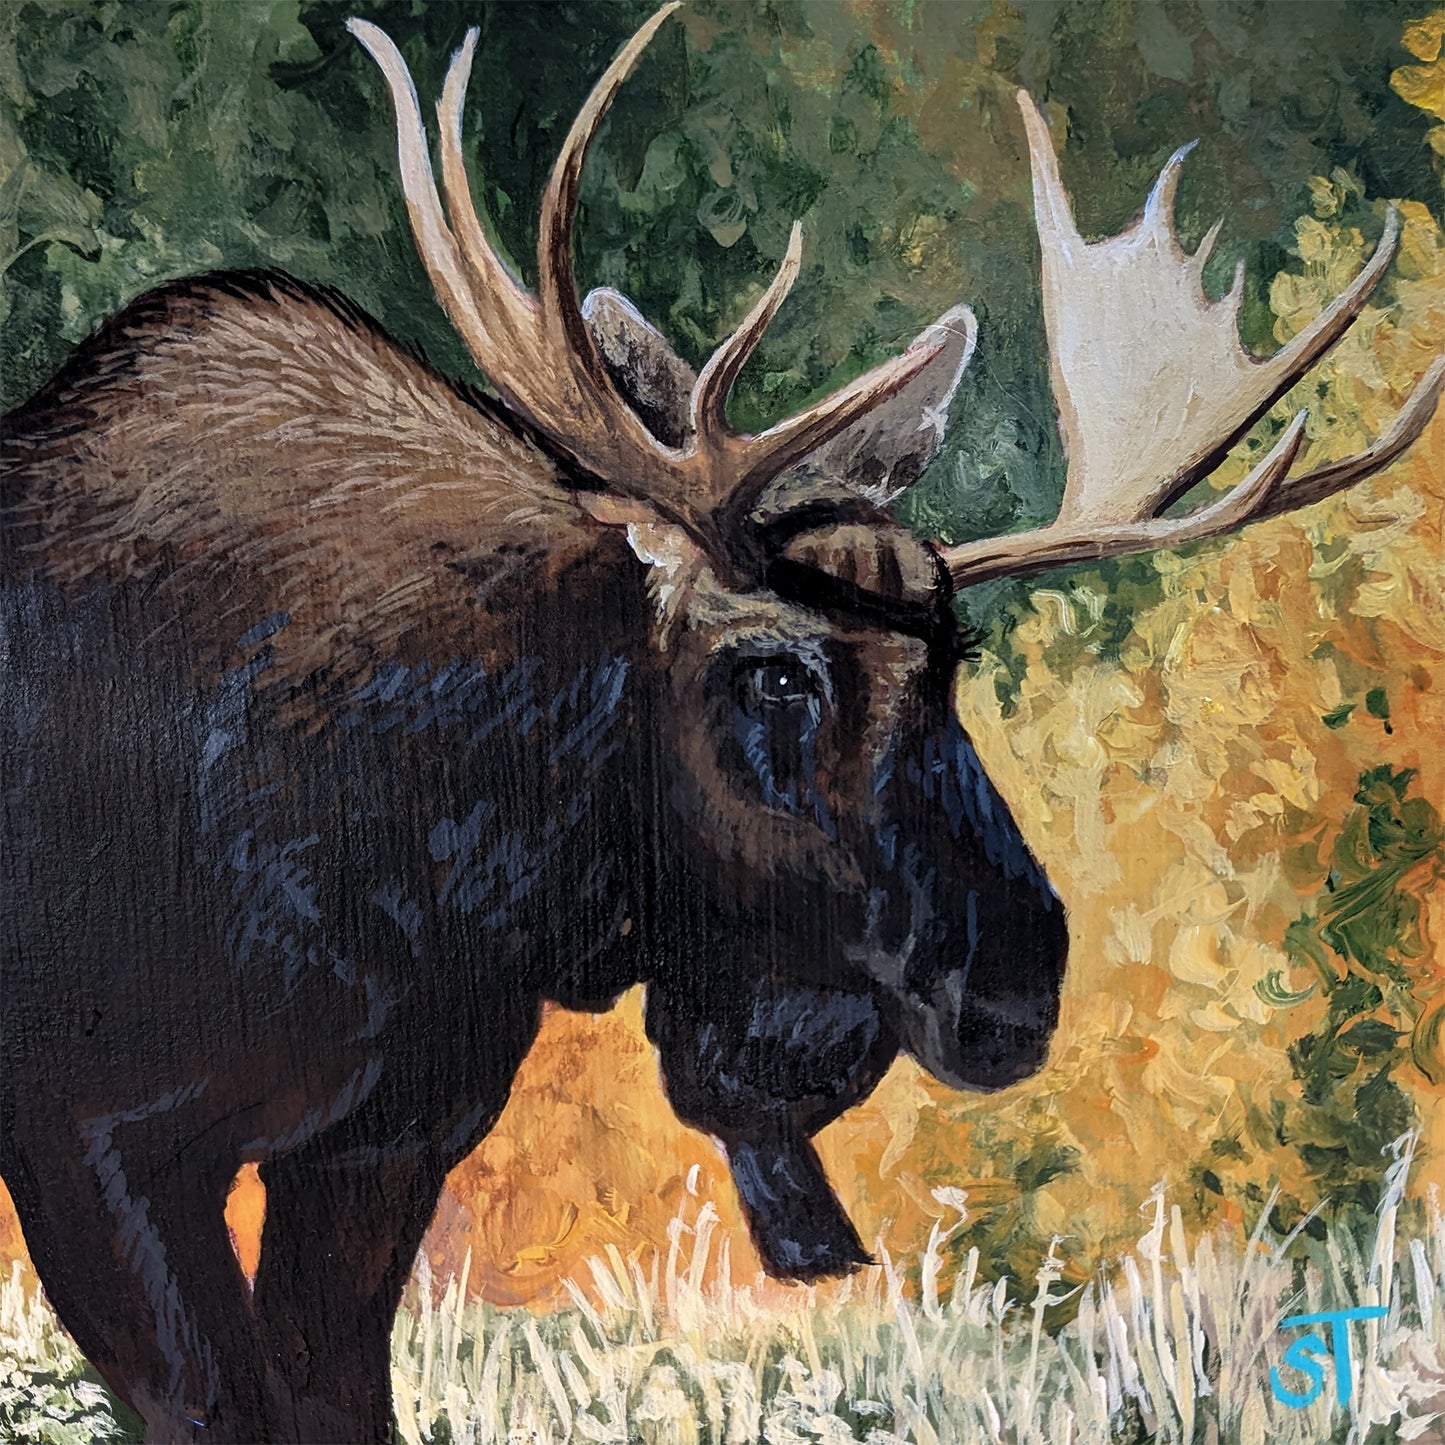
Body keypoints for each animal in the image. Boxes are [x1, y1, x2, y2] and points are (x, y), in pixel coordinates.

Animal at [0, 5, 1439, 1442]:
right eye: (777, 673)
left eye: (953, 657)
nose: (1016, 976)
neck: (448, 856)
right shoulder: (85, 1130)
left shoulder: (380, 1142)